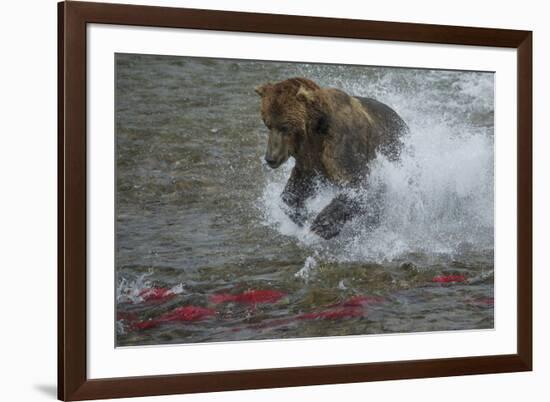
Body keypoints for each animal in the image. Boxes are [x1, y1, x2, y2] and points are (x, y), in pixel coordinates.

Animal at [256, 77, 408, 239]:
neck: (314, 131)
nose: (270, 158)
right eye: (268, 124)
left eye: (284, 127)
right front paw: (300, 215)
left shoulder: (340, 143)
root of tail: (401, 120)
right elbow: (295, 189)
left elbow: (356, 183)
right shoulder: (308, 158)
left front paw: (322, 225)